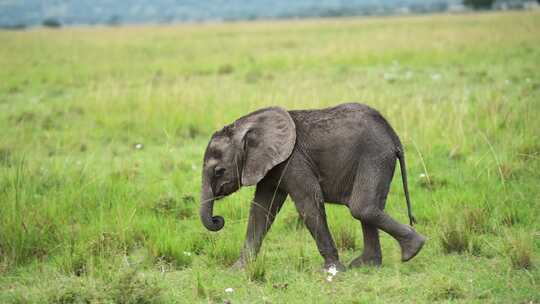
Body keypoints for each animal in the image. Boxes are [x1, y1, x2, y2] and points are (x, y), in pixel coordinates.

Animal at [199, 102, 426, 270]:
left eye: (219, 171)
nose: (218, 219)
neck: (247, 125)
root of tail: (394, 135)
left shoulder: (293, 159)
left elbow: (308, 201)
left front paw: (333, 269)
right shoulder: (270, 165)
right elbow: (261, 209)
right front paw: (238, 270)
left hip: (375, 154)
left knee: (362, 208)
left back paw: (412, 250)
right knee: (367, 208)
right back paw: (367, 265)